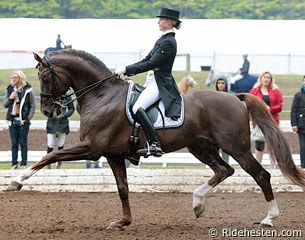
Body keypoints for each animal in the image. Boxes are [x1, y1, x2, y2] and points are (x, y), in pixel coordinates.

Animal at [6, 49, 304, 230]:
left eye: (45, 76)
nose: (48, 111)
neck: (101, 95)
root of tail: (235, 96)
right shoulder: (113, 154)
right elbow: (123, 189)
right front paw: (123, 222)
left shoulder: (92, 149)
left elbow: (50, 156)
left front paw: (16, 181)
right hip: (200, 146)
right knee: (224, 170)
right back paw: (197, 203)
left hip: (236, 147)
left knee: (260, 175)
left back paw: (269, 218)